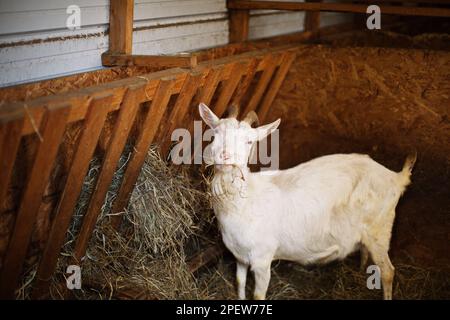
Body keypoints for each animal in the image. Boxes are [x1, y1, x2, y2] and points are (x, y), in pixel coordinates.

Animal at [199, 102, 416, 300]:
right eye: (215, 133)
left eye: (249, 142)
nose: (225, 156)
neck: (246, 201)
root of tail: (396, 178)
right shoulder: (240, 256)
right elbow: (240, 283)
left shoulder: (262, 259)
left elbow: (258, 296)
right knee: (365, 250)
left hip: (380, 228)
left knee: (388, 272)